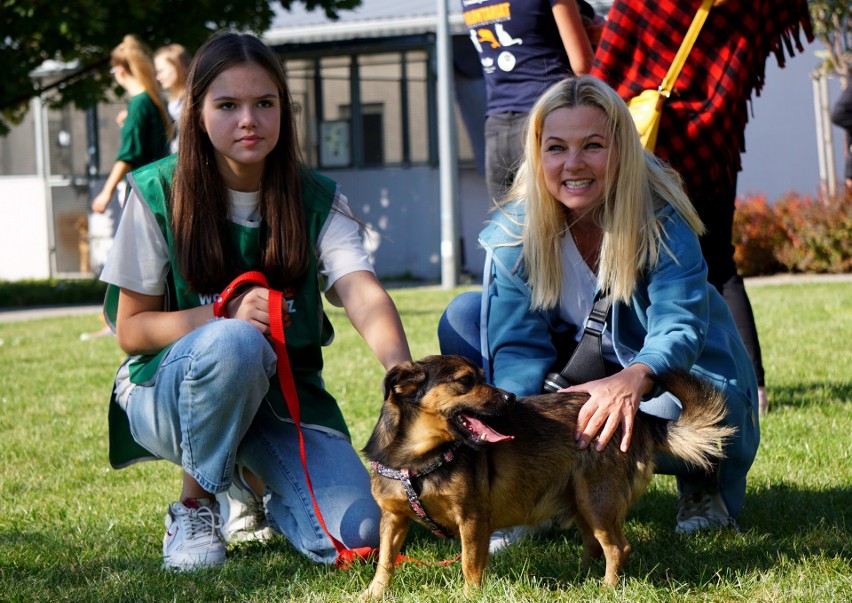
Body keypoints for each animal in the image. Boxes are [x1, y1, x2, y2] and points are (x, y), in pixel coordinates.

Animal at [362, 356, 736, 596]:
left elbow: (470, 564)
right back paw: (583, 576)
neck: (418, 458)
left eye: (482, 377)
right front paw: (374, 593)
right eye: (466, 381)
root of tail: (640, 418)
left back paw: (606, 588)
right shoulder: (393, 519)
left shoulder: (472, 518)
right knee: (594, 544)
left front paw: (470, 595)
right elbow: (385, 560)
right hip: (581, 501)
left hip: (597, 500)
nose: (511, 397)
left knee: (618, 547)